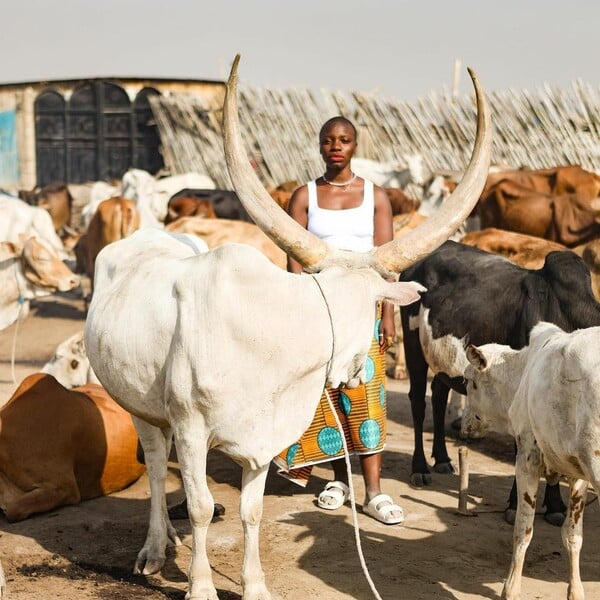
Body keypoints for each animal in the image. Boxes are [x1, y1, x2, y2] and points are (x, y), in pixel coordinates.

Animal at [398, 241, 600, 524]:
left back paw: (442, 459)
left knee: (438, 395)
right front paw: (516, 505)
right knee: (417, 402)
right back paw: (420, 468)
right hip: (413, 345)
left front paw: (555, 507)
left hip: (443, 362)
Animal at [464, 324, 600, 600]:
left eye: (470, 383)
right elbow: (573, 535)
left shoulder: (527, 458)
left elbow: (522, 529)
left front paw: (511, 589)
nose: (465, 425)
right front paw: (576, 591)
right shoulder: (579, 474)